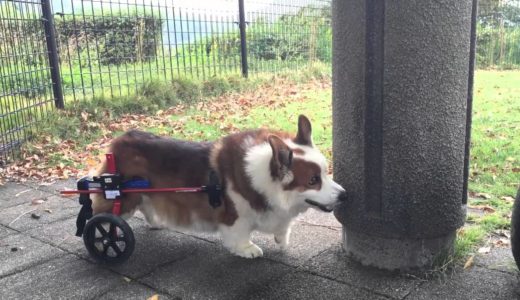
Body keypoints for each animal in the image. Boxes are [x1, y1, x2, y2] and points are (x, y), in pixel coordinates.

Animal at [92, 114, 346, 258]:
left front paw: (281, 241)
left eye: (326, 172)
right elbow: (239, 233)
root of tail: (118, 142)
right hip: (123, 197)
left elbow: (282, 229)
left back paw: (156, 222)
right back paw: (102, 237)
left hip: (144, 193)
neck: (262, 176)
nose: (344, 195)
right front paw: (247, 249)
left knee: (146, 205)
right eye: (313, 180)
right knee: (101, 217)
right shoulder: (237, 216)